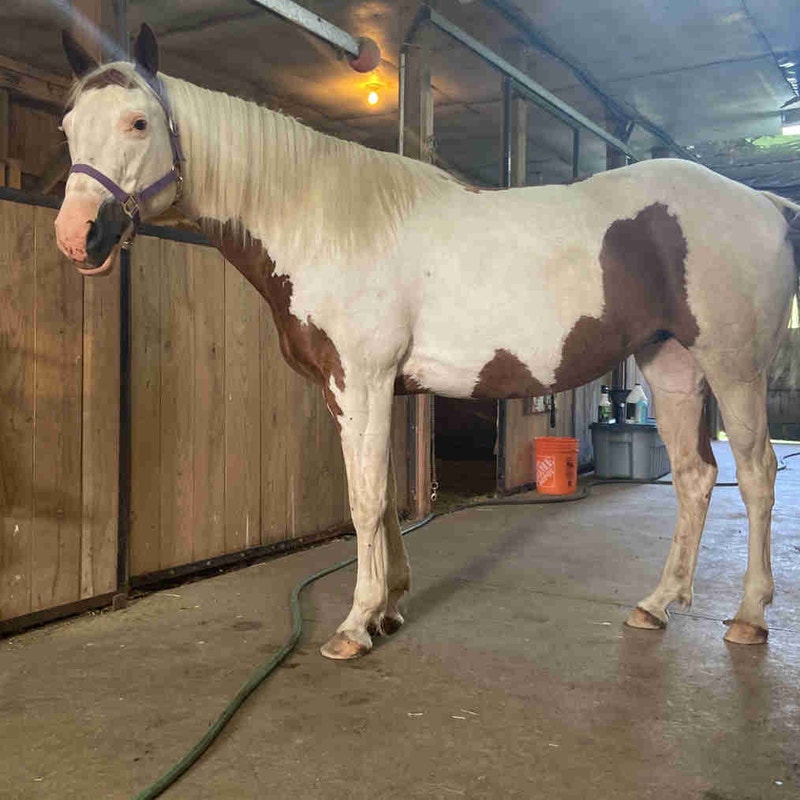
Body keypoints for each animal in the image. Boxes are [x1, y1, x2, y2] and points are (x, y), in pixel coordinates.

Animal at [55, 25, 800, 660]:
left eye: (138, 122)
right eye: (67, 127)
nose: (76, 237)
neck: (327, 221)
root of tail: (764, 203)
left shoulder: (363, 380)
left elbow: (361, 502)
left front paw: (355, 625)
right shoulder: (357, 390)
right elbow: (381, 494)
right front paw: (388, 607)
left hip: (732, 371)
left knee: (757, 475)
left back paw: (747, 617)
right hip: (669, 364)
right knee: (696, 477)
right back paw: (657, 604)